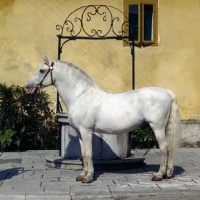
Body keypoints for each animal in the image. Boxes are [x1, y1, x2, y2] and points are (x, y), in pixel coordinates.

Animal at [25, 55, 181, 183]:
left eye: (41, 70)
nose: (27, 87)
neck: (80, 96)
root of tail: (167, 92)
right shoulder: (79, 132)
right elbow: (83, 153)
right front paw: (82, 175)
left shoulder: (86, 130)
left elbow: (89, 153)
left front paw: (88, 177)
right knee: (169, 148)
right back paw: (168, 173)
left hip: (157, 127)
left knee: (164, 148)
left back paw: (159, 175)